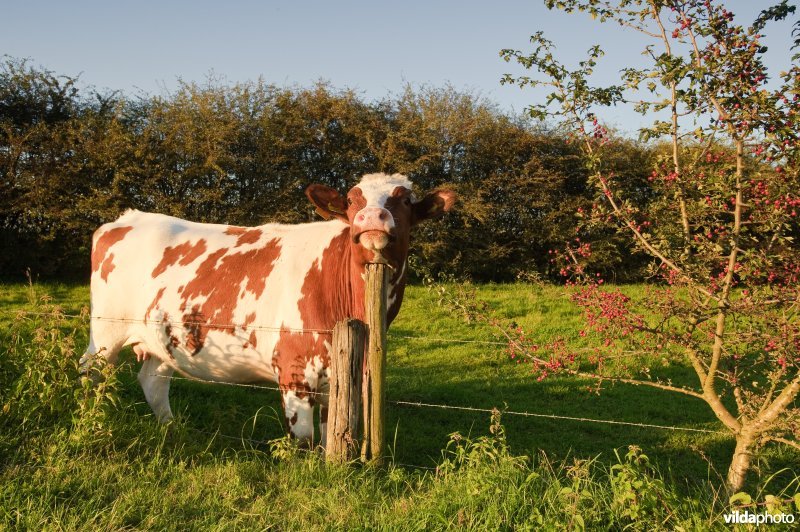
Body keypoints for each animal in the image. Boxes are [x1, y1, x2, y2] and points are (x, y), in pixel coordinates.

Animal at [80, 173, 456, 446]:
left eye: (405, 200)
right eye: (351, 200)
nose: (372, 217)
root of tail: (128, 217)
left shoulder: (337, 378)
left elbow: (327, 436)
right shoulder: (294, 370)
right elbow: (303, 441)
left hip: (162, 337)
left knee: (153, 380)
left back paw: (172, 429)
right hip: (106, 331)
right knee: (91, 371)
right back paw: (89, 424)